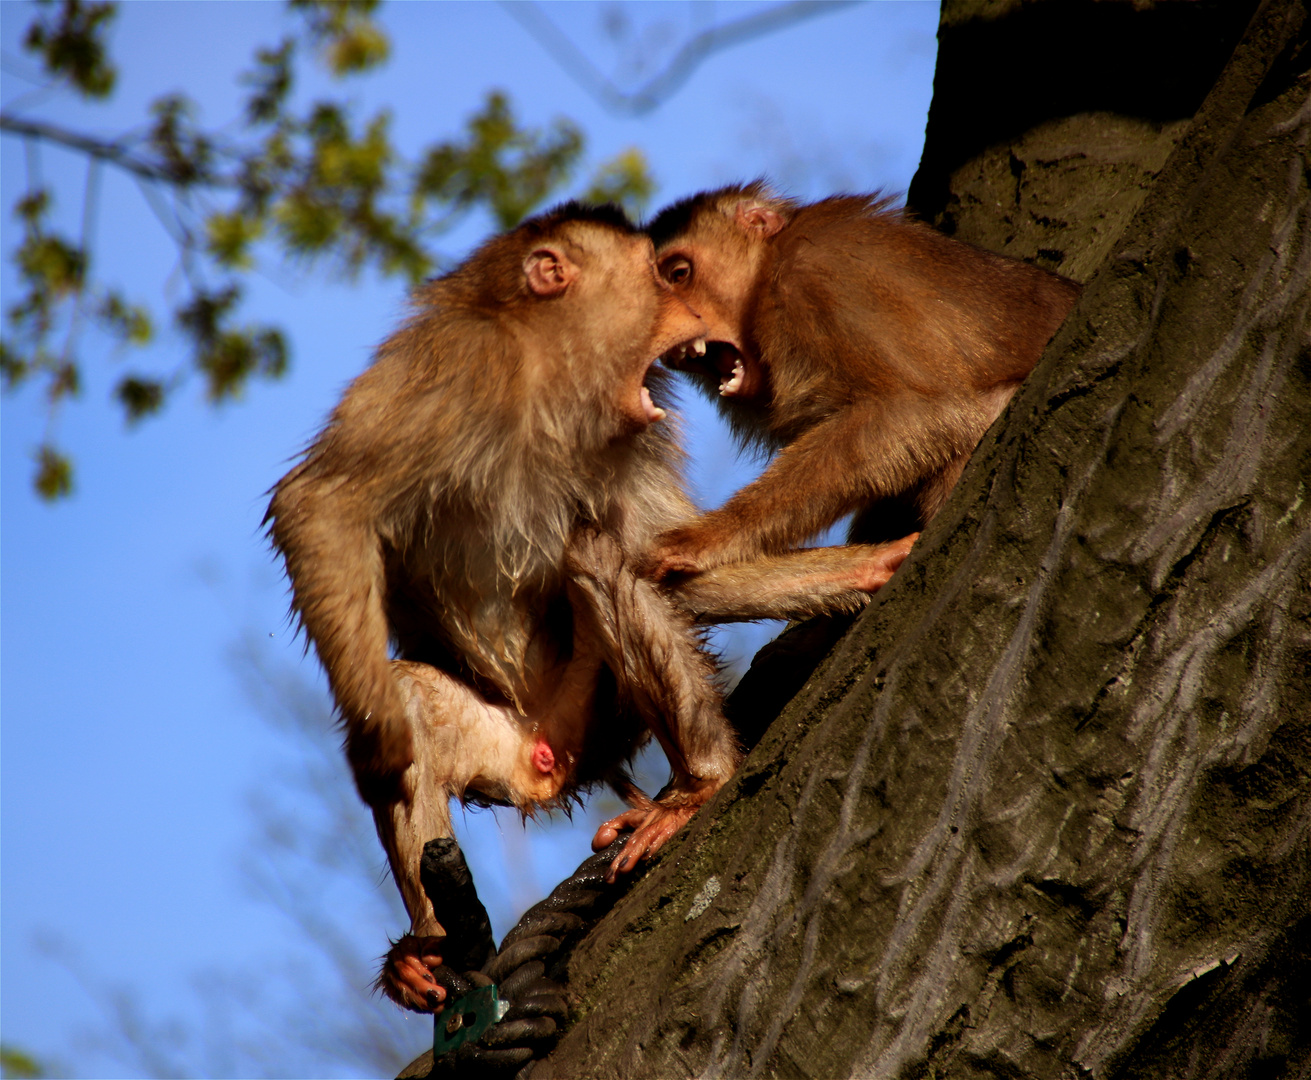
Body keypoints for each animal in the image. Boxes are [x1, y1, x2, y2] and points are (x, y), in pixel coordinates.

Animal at [266, 201, 917, 1011]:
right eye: (660, 278)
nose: (689, 312)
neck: (545, 382)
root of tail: (556, 759)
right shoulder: (454, 363)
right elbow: (322, 505)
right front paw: (380, 732)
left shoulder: (626, 439)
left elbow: (666, 561)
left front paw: (864, 567)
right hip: (507, 747)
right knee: (423, 692)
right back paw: (429, 944)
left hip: (597, 711)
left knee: (598, 553)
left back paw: (700, 783)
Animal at [639, 180, 1080, 576]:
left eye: (678, 275)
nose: (665, 325)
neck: (767, 273)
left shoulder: (823, 277)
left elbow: (919, 409)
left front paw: (710, 536)